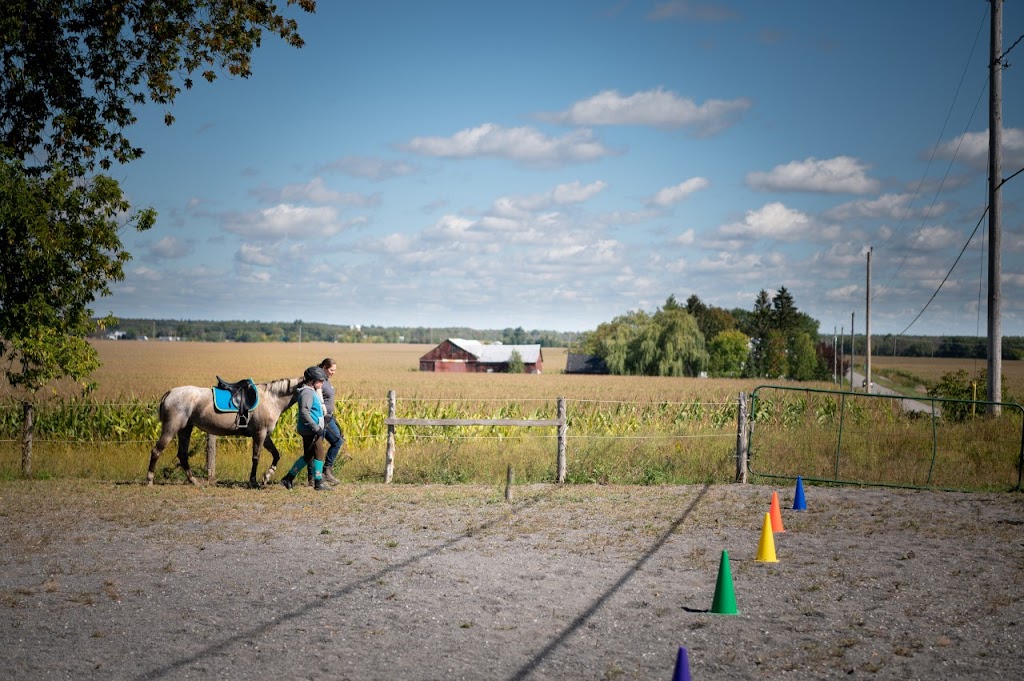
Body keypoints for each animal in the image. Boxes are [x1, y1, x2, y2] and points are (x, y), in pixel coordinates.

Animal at [146, 374, 301, 485]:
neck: (271, 398)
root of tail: (170, 392)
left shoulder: (265, 435)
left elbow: (276, 454)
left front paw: (266, 476)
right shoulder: (259, 434)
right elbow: (256, 458)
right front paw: (254, 481)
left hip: (185, 430)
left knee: (183, 455)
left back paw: (193, 480)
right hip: (171, 428)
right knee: (156, 451)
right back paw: (149, 479)